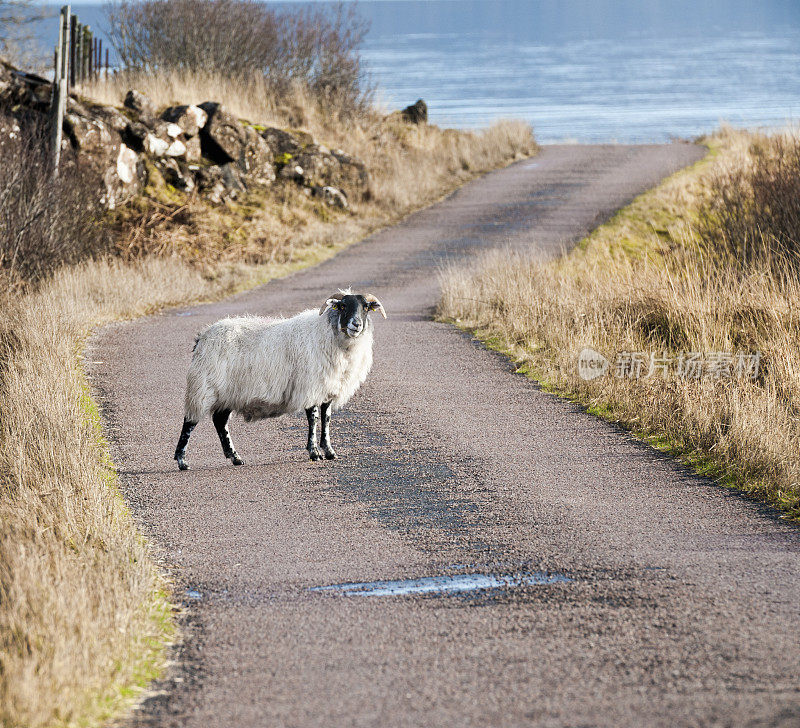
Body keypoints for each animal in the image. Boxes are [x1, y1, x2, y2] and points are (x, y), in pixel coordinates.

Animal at [175, 292, 388, 472]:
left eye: (366, 307)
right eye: (343, 306)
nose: (356, 324)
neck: (330, 335)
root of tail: (202, 337)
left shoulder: (328, 389)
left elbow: (326, 420)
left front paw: (329, 451)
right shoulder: (310, 387)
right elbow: (314, 419)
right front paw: (314, 453)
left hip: (228, 392)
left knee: (220, 422)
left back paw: (235, 457)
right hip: (203, 386)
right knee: (189, 422)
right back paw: (182, 461)